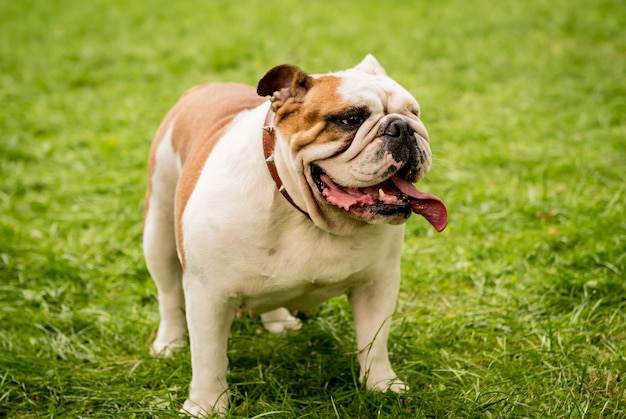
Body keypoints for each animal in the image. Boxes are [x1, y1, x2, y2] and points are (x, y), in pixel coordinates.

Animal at [143, 55, 444, 416]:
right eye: (351, 118)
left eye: (415, 113)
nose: (402, 127)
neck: (305, 213)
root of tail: (203, 88)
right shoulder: (207, 295)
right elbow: (208, 358)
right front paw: (205, 406)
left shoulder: (377, 284)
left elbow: (375, 340)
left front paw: (382, 386)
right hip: (158, 231)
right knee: (168, 295)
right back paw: (169, 342)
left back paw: (278, 321)